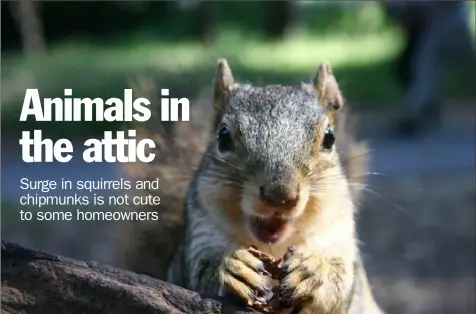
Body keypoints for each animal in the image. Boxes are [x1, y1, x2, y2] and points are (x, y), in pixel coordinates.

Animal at [114, 59, 384, 314]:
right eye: (223, 136)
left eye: (330, 138)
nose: (279, 196)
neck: (274, 247)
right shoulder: (198, 238)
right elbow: (200, 270)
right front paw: (233, 267)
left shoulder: (339, 238)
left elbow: (342, 285)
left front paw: (314, 271)